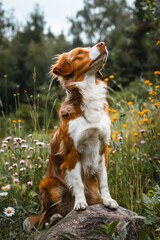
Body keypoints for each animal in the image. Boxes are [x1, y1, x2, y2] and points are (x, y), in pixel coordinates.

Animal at [23, 41, 118, 232]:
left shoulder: (103, 147)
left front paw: (108, 200)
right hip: (49, 186)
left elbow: (103, 179)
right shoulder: (72, 151)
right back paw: (55, 218)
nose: (102, 43)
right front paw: (80, 203)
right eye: (80, 53)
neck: (89, 92)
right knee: (45, 217)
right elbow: (78, 182)